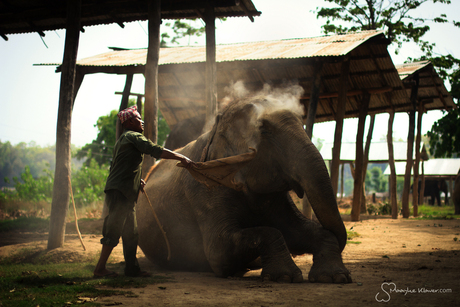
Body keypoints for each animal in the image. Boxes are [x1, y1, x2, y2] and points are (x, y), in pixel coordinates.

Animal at [135, 91, 350, 284]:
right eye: (264, 130)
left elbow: (297, 230)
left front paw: (335, 277)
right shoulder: (203, 188)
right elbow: (220, 251)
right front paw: (284, 277)